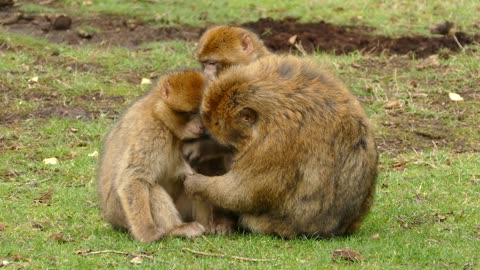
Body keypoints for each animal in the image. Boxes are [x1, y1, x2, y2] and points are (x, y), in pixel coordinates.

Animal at [97, 70, 208, 243]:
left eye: (202, 112)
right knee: (151, 187)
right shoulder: (150, 132)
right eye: (189, 113)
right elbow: (133, 179)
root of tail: (111, 219)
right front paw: (147, 232)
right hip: (121, 214)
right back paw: (175, 229)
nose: (201, 126)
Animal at [186, 55, 376, 238]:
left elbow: (243, 192)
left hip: (282, 225)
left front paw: (196, 183)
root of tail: (342, 228)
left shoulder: (274, 144)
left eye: (218, 123)